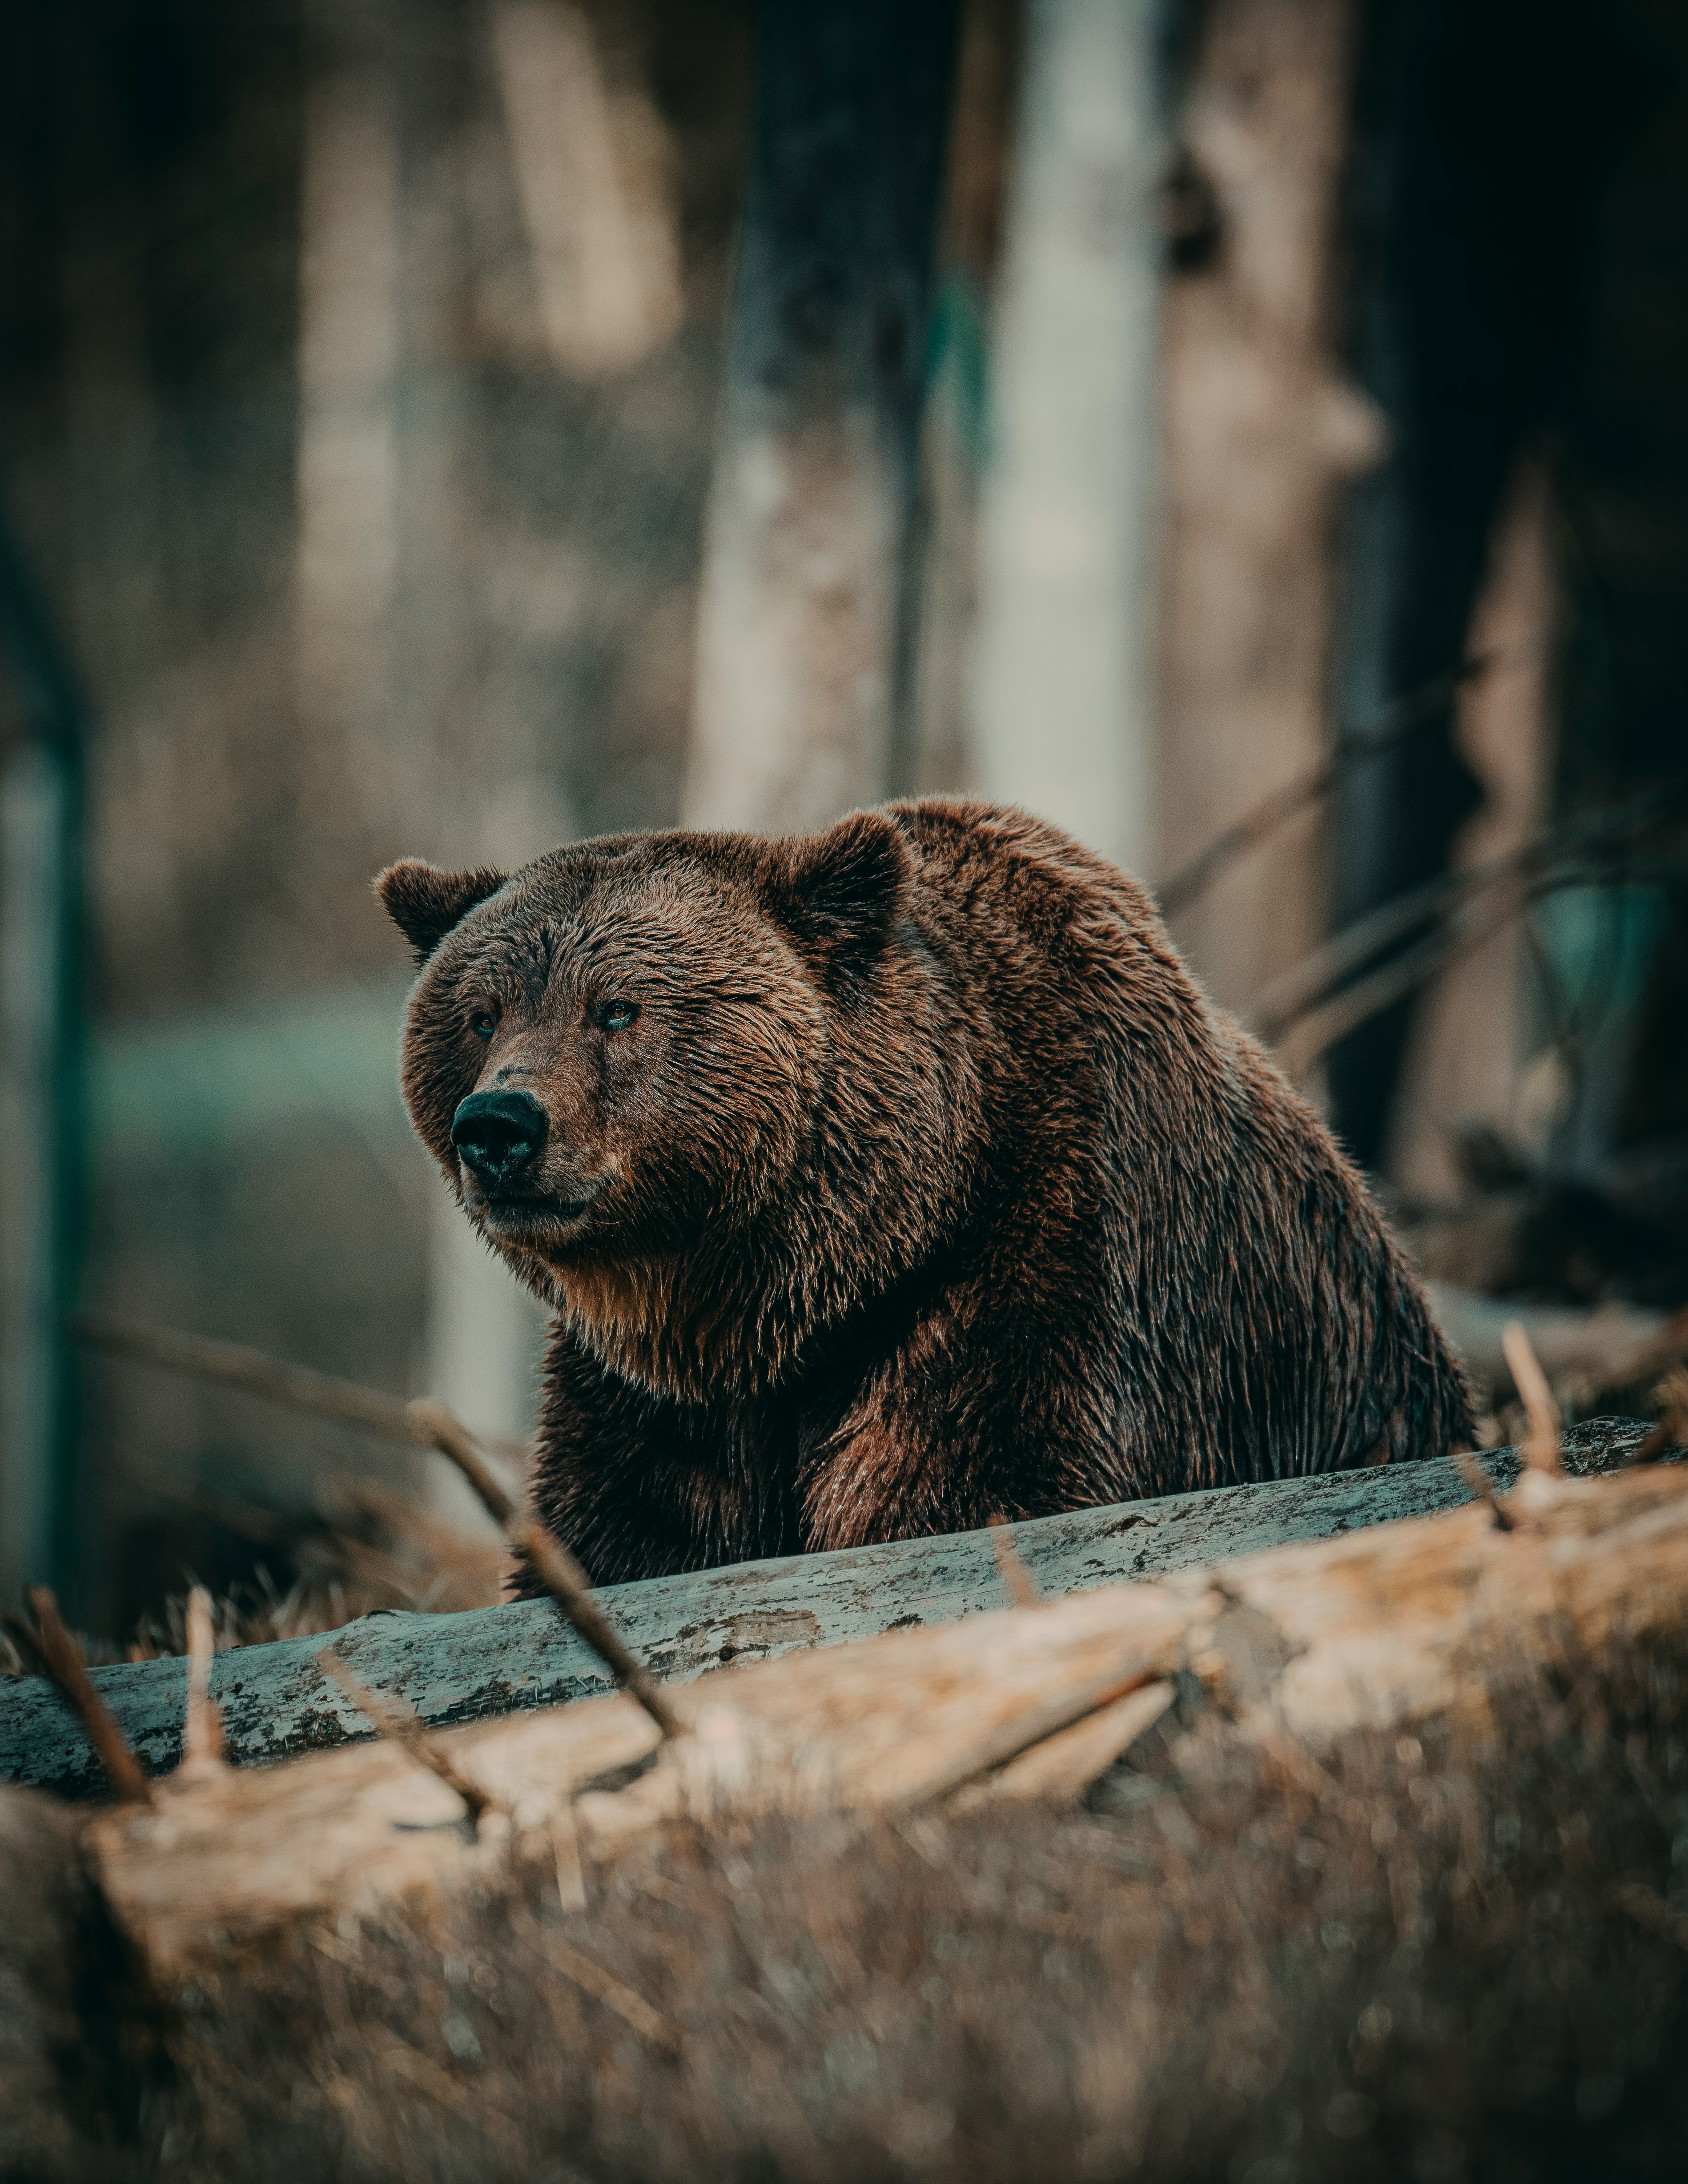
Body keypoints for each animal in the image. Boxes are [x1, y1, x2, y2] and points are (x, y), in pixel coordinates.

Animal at [375, 795, 1467, 1581]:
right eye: (480, 1012)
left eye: (616, 1008)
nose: (499, 1126)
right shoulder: (656, 1398)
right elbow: (622, 1532)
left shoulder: (1049, 1257)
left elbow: (972, 1482)